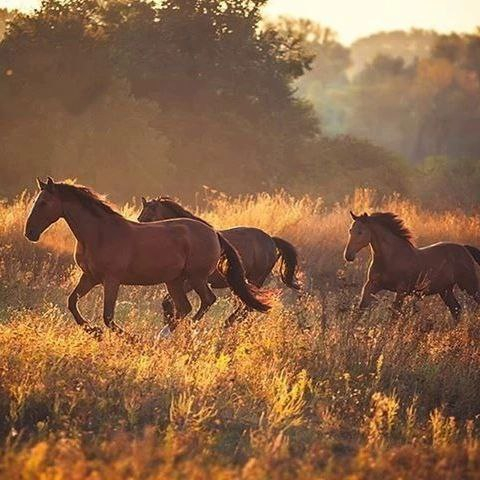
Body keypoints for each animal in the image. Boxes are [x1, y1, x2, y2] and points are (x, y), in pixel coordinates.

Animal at [23, 177, 270, 338]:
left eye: (43, 203)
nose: (30, 232)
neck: (99, 233)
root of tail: (213, 233)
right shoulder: (90, 277)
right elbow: (72, 302)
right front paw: (93, 331)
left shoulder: (111, 280)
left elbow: (108, 316)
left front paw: (131, 339)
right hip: (175, 281)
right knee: (184, 308)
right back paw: (165, 335)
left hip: (197, 278)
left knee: (207, 301)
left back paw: (179, 332)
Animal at [137, 197, 298, 324]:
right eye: (140, 218)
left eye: (149, 217)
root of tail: (271, 240)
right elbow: (167, 301)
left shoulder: (192, 281)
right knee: (246, 307)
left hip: (254, 280)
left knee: (247, 307)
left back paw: (226, 325)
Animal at [344, 212, 480, 320]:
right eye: (350, 230)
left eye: (360, 232)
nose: (348, 255)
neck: (390, 258)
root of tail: (464, 248)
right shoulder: (372, 285)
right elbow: (361, 308)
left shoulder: (401, 289)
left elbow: (395, 313)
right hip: (445, 289)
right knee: (456, 309)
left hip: (469, 285)